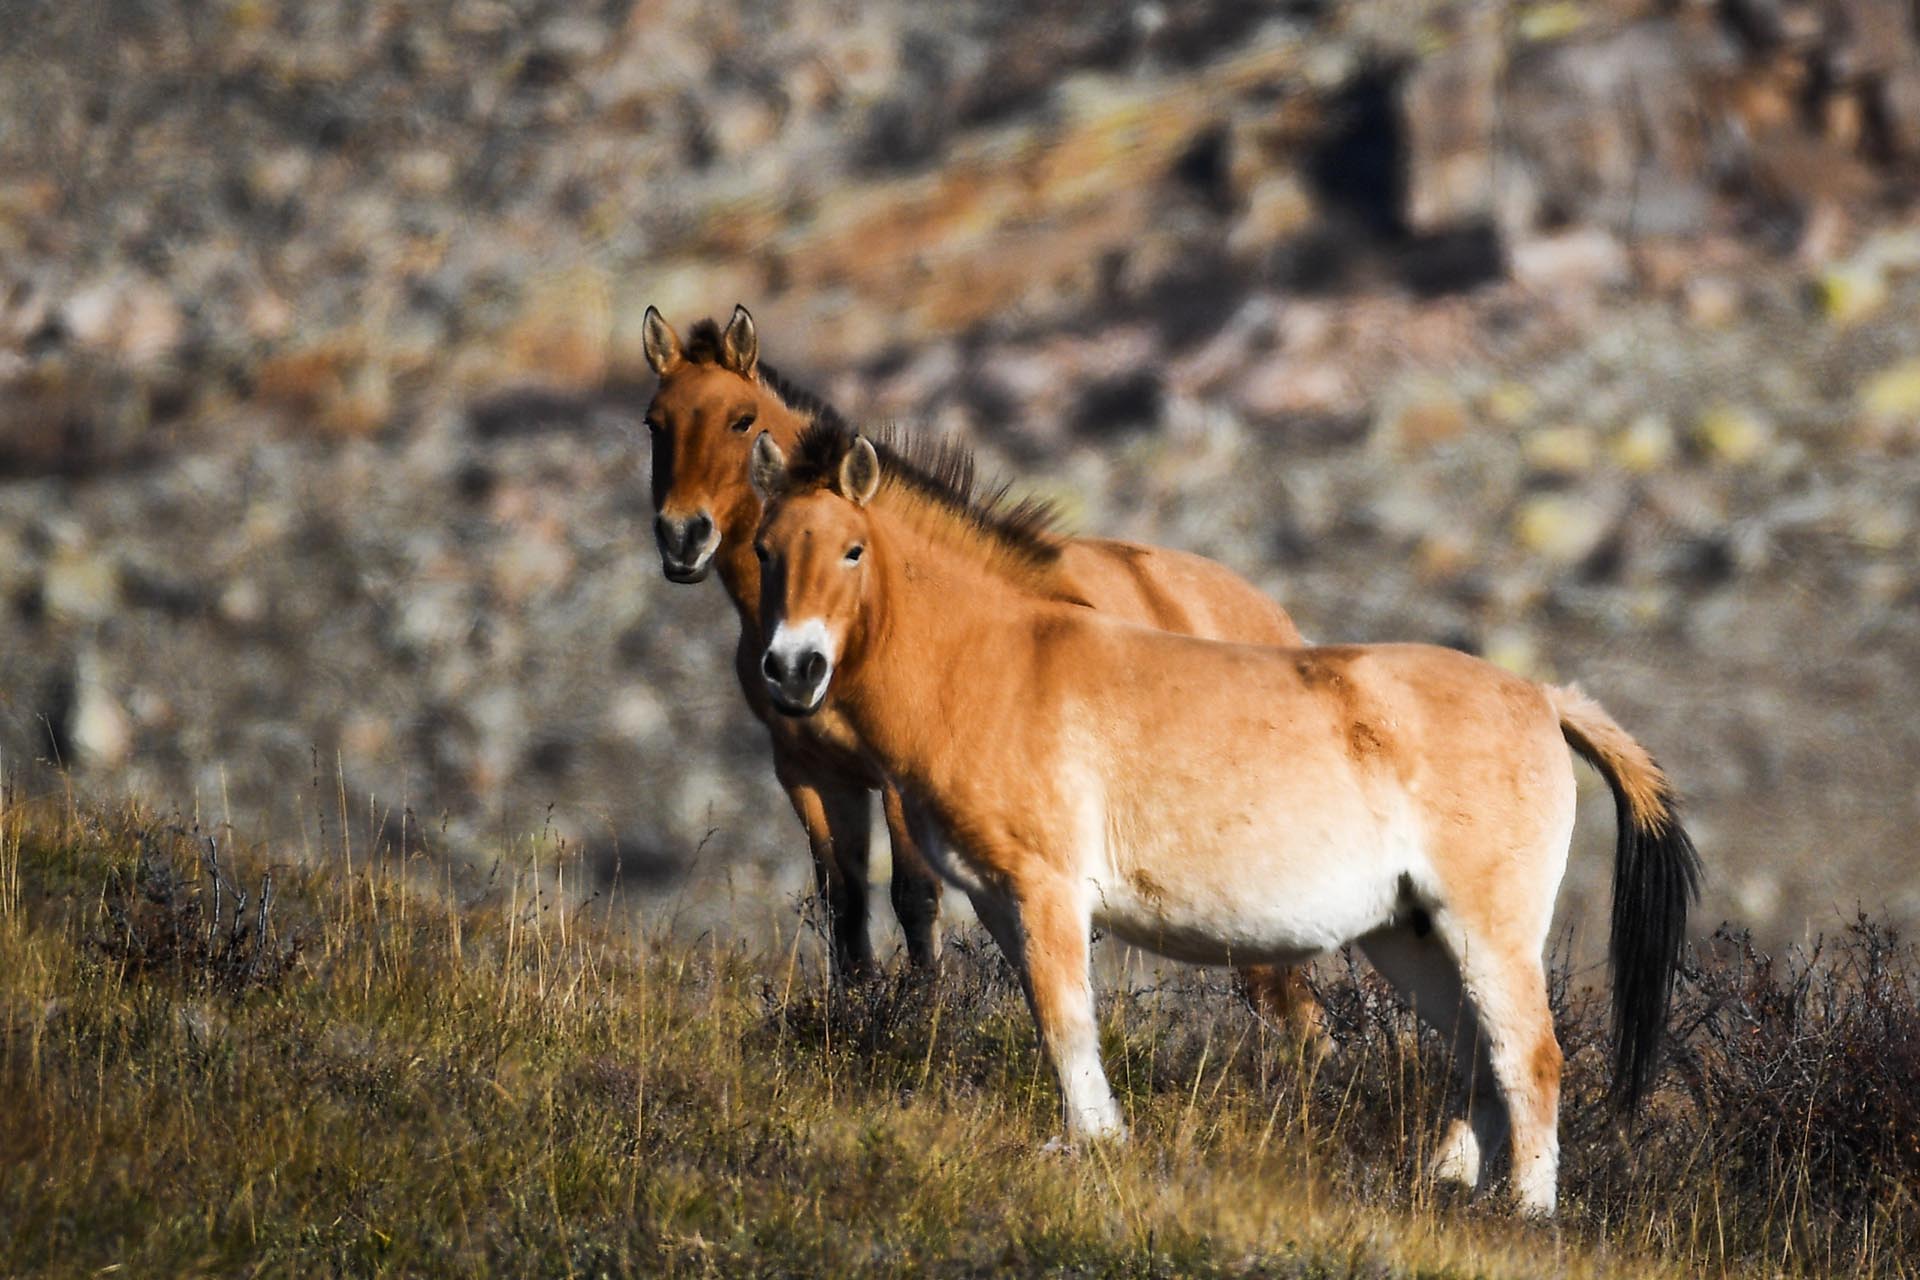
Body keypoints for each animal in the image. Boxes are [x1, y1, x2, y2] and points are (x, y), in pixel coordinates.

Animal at [637, 305, 1328, 1036]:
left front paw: (924, 1016)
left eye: (742, 419)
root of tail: (1276, 621)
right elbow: (843, 900)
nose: (683, 537)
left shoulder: (900, 777)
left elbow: (914, 895)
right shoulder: (809, 772)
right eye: (655, 422)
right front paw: (853, 1013)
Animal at [741, 426, 1704, 1220]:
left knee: (1529, 1059)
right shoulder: (1000, 901)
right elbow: (1053, 1020)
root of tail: (1542, 697)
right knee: (1477, 1056)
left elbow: (1065, 1022)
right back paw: (1442, 1187)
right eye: (765, 549)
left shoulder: (1047, 892)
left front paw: (1093, 1146)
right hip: (1411, 933)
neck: (1000, 661)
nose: (792, 669)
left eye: (853, 549)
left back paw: (1526, 1214)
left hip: (1487, 928)